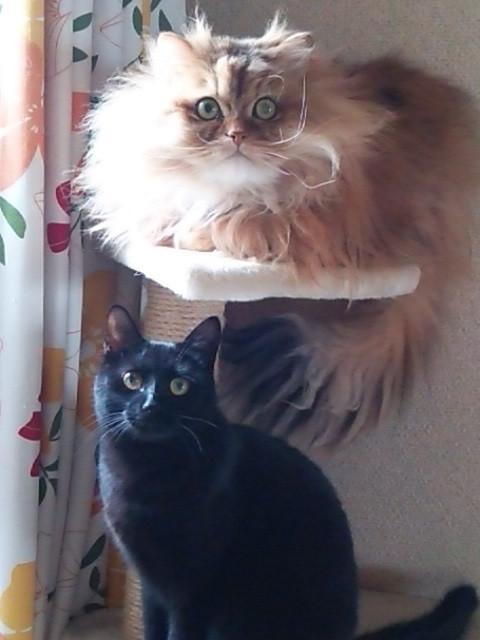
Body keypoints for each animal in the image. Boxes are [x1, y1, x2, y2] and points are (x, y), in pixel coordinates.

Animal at [77, 14, 479, 443]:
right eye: (208, 108)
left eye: (265, 109)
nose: (236, 135)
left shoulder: (309, 231)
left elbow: (227, 227)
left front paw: (196, 233)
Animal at [95, 305, 478, 640]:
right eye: (131, 379)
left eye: (179, 386)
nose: (149, 405)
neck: (146, 469)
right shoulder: (151, 585)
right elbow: (152, 629)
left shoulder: (194, 589)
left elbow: (180, 632)